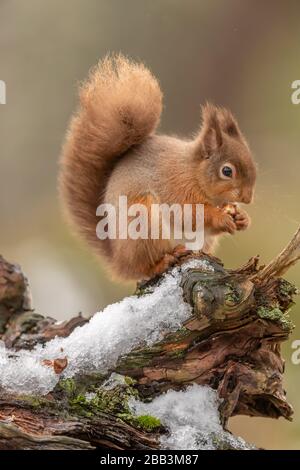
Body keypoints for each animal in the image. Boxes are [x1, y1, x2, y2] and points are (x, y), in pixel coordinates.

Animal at [59, 55, 256, 282]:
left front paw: (242, 218)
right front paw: (221, 217)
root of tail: (120, 261)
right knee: (145, 267)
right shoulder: (176, 188)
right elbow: (188, 215)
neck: (193, 173)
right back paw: (165, 260)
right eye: (227, 171)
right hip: (142, 224)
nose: (247, 198)